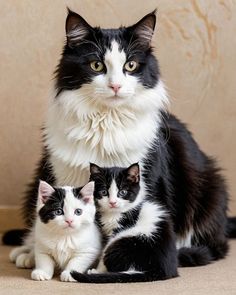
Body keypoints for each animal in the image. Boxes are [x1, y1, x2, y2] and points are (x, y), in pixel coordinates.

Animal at [3, 8, 234, 282]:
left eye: (130, 66)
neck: (106, 122)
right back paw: (26, 251)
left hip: (209, 186)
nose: (115, 86)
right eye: (97, 65)